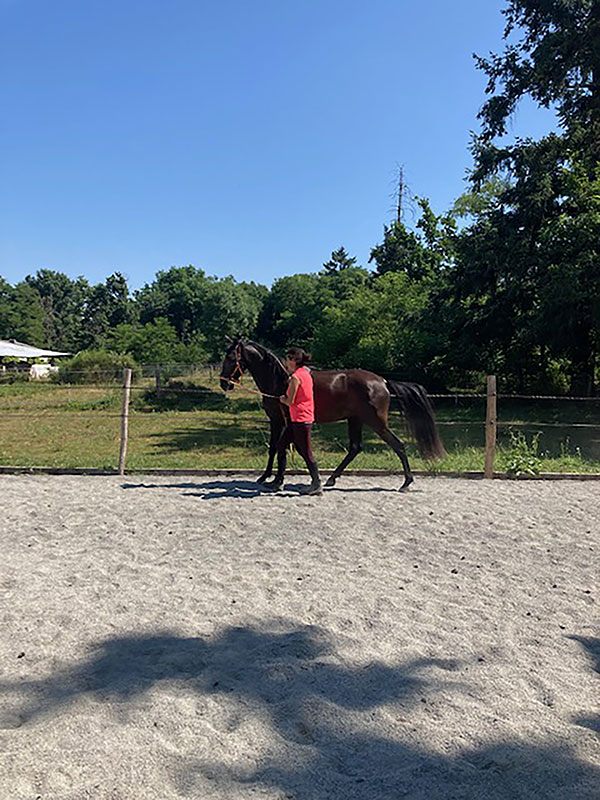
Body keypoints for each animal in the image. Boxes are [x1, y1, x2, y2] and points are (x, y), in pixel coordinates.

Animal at [219, 338, 445, 490]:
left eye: (230, 357)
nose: (223, 383)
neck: (280, 381)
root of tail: (382, 381)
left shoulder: (279, 421)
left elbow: (275, 448)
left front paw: (270, 478)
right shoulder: (279, 422)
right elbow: (276, 448)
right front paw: (268, 477)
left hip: (376, 422)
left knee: (398, 445)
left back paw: (406, 482)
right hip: (356, 420)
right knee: (355, 448)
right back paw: (331, 478)